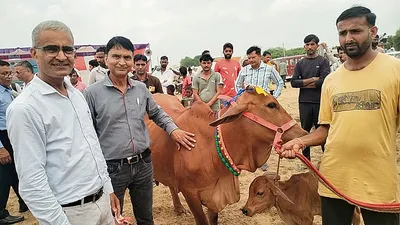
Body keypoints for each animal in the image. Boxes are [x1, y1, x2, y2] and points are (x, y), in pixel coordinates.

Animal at [147, 87, 306, 225]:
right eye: (271, 105)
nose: (303, 133)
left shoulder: (214, 196)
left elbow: (213, 219)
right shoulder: (190, 193)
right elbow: (202, 220)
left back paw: (179, 208)